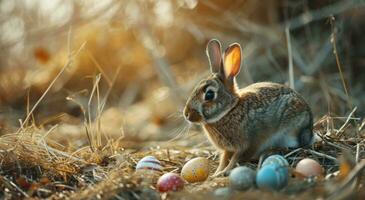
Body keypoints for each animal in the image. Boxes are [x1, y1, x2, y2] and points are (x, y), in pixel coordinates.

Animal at [182, 39, 312, 177]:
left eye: (209, 94)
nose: (186, 114)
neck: (229, 111)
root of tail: (310, 123)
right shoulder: (228, 149)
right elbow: (224, 159)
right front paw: (216, 173)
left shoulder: (245, 145)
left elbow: (235, 159)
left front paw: (225, 171)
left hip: (290, 130)